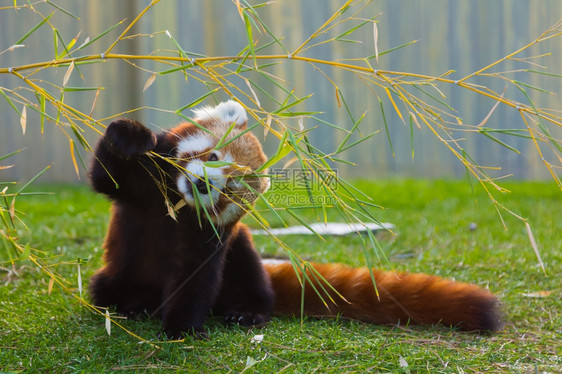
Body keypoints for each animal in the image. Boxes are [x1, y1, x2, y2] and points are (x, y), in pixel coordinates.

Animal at [89, 100, 500, 338]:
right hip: (110, 276)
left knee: (248, 270)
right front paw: (129, 137)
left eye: (232, 188)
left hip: (242, 253)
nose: (204, 184)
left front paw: (182, 328)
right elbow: (108, 175)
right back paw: (135, 303)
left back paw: (247, 312)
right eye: (213, 157)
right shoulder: (144, 185)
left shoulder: (209, 236)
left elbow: (196, 278)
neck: (176, 202)